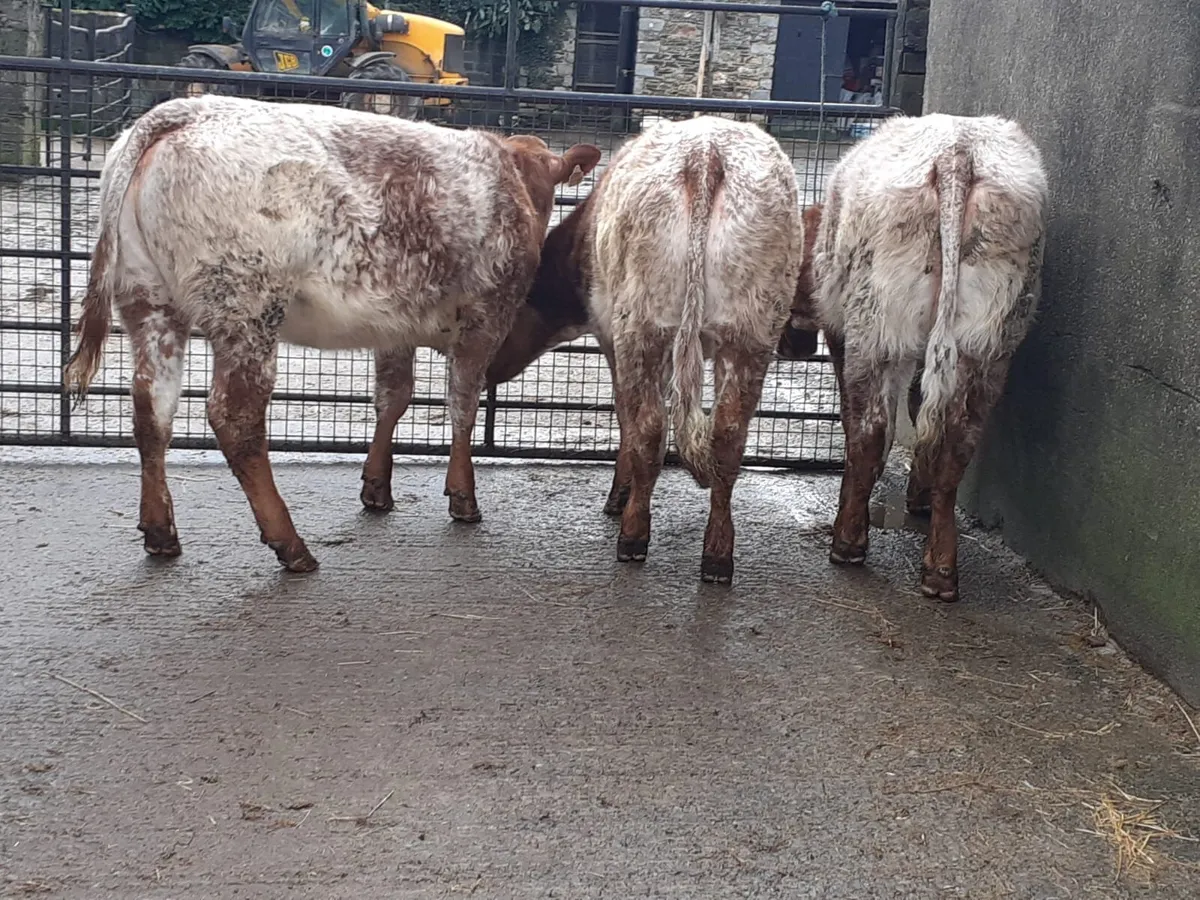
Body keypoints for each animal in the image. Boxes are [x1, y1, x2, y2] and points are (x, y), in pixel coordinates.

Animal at [63, 94, 601, 572]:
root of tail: (183, 112)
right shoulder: (484, 317)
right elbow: (462, 404)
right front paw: (463, 496)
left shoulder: (395, 324)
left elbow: (393, 397)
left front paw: (377, 487)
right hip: (247, 308)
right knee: (235, 418)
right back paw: (290, 544)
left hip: (149, 302)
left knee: (151, 408)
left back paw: (160, 532)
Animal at [487, 116, 802, 584]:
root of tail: (706, 152)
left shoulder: (611, 338)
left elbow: (627, 421)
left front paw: (620, 496)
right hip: (752, 332)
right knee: (727, 437)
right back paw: (718, 555)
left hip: (642, 326)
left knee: (651, 429)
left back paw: (633, 535)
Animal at [777, 113, 1048, 602]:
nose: (790, 345)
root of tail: (957, 152)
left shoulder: (845, 335)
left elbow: (858, 419)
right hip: (989, 340)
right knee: (956, 438)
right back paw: (939, 566)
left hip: (878, 325)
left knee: (870, 429)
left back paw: (848, 541)